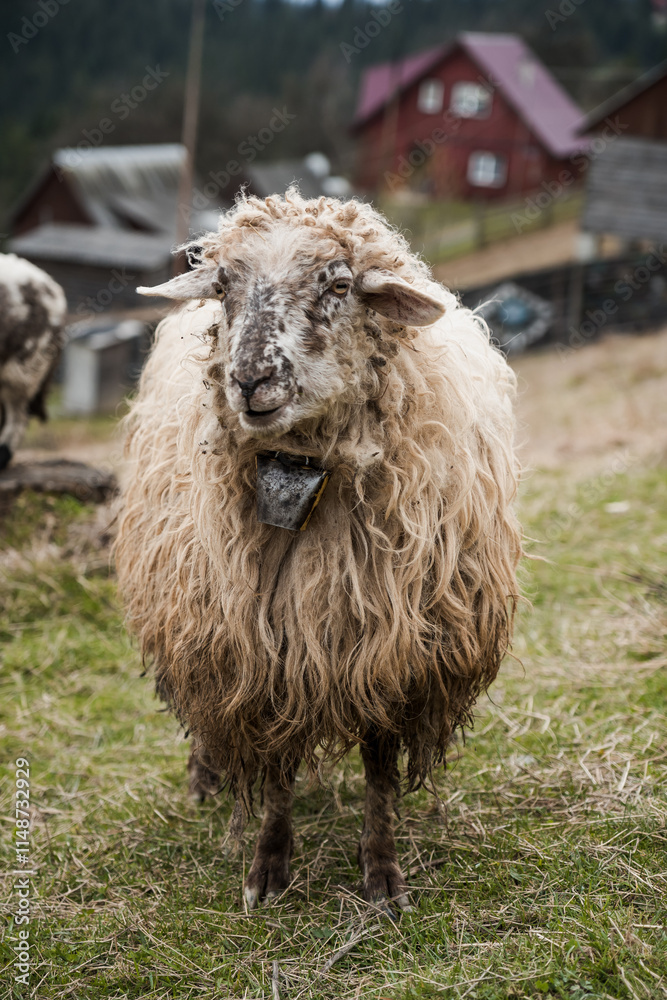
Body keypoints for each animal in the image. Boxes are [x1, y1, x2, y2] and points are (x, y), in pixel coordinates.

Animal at [114, 190, 521, 911]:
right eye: (224, 286)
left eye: (338, 284)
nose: (251, 380)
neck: (307, 471)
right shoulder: (261, 646)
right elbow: (276, 772)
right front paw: (268, 869)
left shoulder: (394, 648)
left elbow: (380, 771)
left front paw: (382, 875)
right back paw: (206, 776)